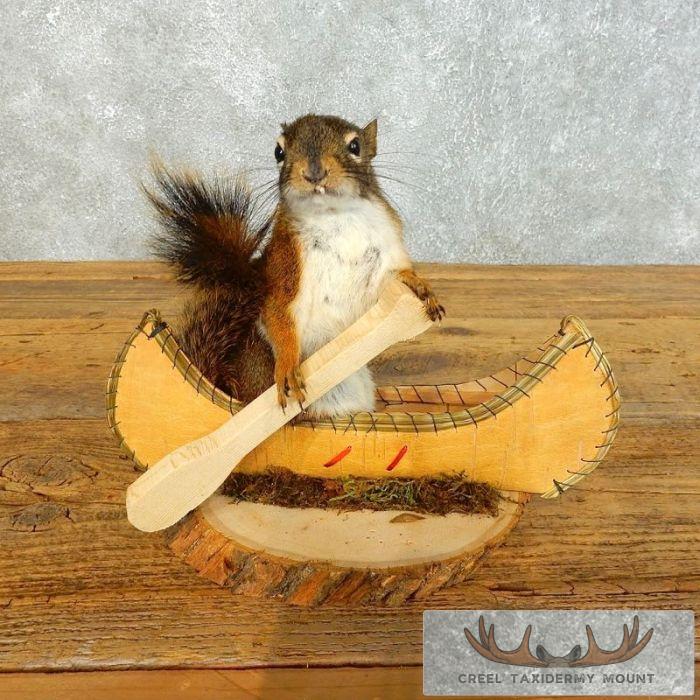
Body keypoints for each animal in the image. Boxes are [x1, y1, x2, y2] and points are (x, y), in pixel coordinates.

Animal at [146, 114, 444, 418]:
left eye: (355, 146)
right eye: (278, 152)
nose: (314, 173)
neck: (334, 215)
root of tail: (236, 393)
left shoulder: (384, 251)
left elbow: (388, 285)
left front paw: (418, 284)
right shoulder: (286, 266)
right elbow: (278, 315)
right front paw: (288, 366)